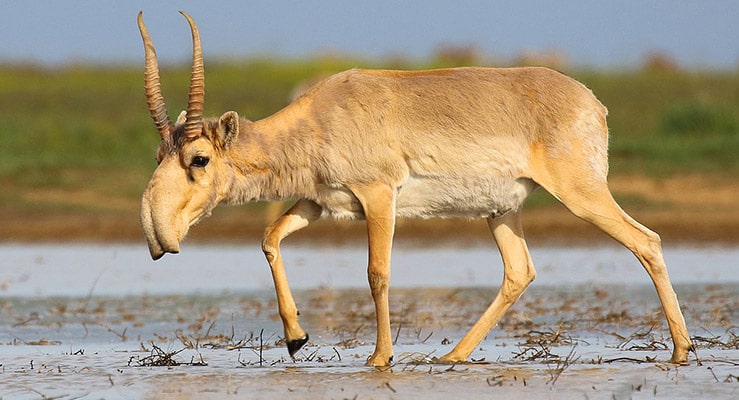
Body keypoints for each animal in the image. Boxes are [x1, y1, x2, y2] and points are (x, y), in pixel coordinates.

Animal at [137, 10, 692, 368]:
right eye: (159, 155)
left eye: (199, 158)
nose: (157, 235)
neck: (320, 116)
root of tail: (592, 102)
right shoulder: (320, 202)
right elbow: (270, 238)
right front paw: (296, 339)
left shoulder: (379, 197)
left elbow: (377, 273)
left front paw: (379, 357)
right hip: (501, 211)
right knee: (519, 271)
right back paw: (453, 355)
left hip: (581, 194)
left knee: (646, 241)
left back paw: (682, 350)